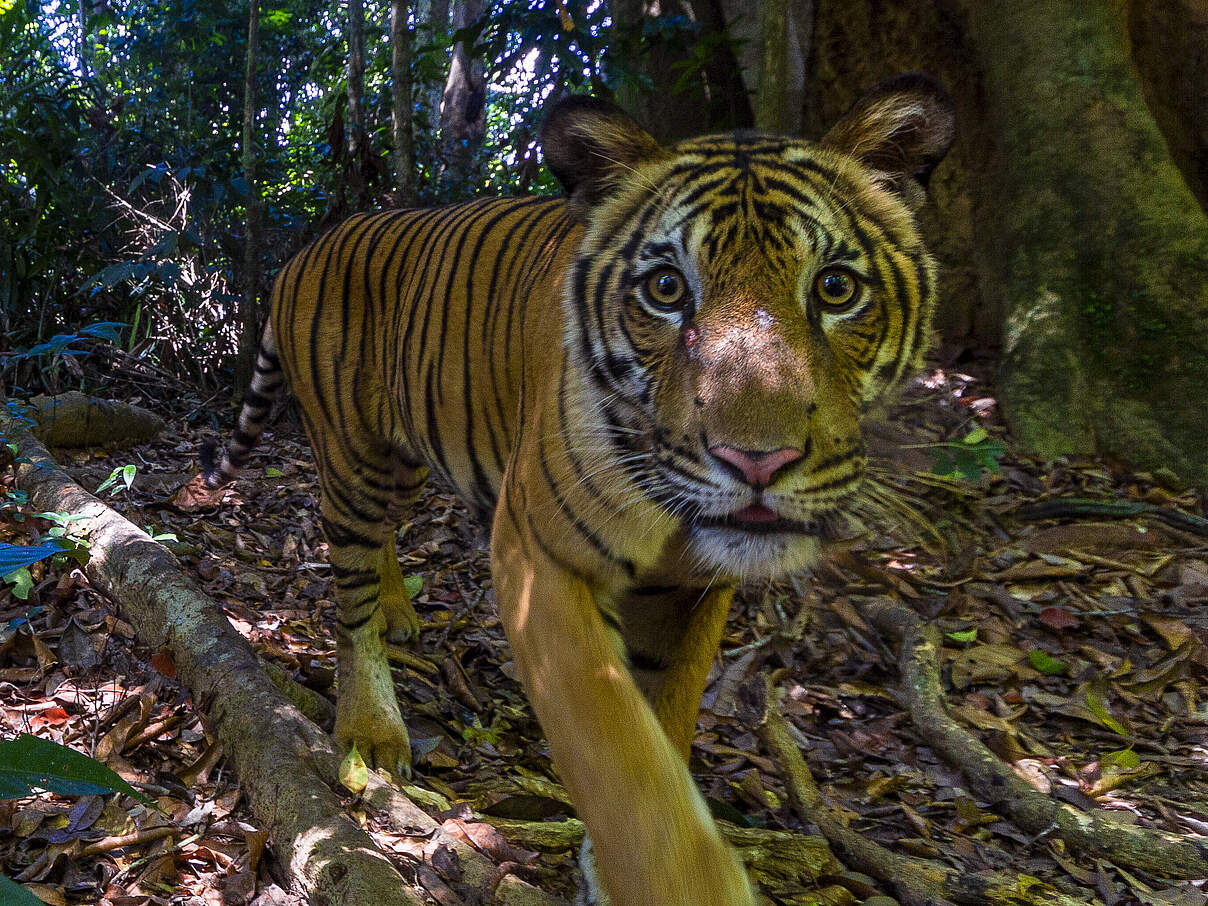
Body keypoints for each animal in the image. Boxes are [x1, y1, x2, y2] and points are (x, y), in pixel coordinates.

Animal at [205, 76, 951, 906]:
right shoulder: (540, 557)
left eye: (836, 288)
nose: (757, 461)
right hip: (354, 457)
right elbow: (619, 754)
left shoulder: (696, 590)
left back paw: (401, 610)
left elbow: (668, 722)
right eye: (666, 289)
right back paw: (371, 729)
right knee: (351, 592)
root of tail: (310, 246)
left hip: (405, 459)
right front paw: (679, 881)